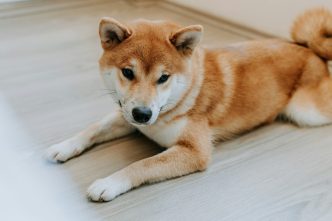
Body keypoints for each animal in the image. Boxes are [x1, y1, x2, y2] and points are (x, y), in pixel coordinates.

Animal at [46, 8, 332, 202]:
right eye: (128, 72)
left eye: (163, 77)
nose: (142, 114)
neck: (181, 98)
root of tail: (309, 49)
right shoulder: (126, 114)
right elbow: (94, 128)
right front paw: (64, 146)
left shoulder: (194, 151)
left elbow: (142, 165)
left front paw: (110, 182)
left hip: (307, 112)